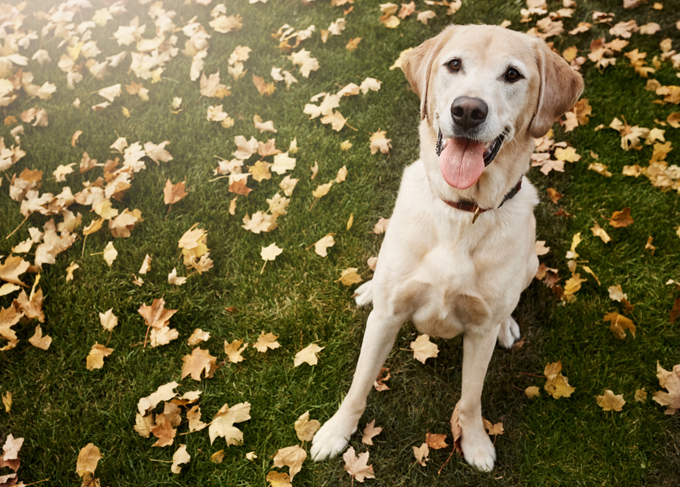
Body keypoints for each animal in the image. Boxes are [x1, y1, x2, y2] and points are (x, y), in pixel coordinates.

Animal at [310, 24, 580, 470]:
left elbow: (470, 399)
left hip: (530, 261)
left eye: (512, 75)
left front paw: (475, 443)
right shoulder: (387, 318)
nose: (468, 110)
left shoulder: (479, 333)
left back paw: (508, 324)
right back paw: (367, 289)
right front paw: (336, 431)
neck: (461, 213)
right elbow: (359, 383)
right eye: (454, 64)